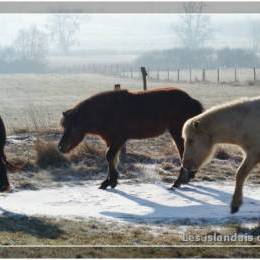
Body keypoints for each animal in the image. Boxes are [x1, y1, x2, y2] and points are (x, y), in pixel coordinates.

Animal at [58, 87, 203, 189]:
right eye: (64, 127)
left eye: (72, 127)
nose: (60, 147)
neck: (107, 111)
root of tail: (191, 100)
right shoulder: (111, 141)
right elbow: (112, 158)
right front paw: (110, 181)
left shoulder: (119, 139)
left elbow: (109, 156)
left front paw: (111, 181)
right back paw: (187, 178)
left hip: (178, 134)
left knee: (184, 154)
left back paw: (178, 182)